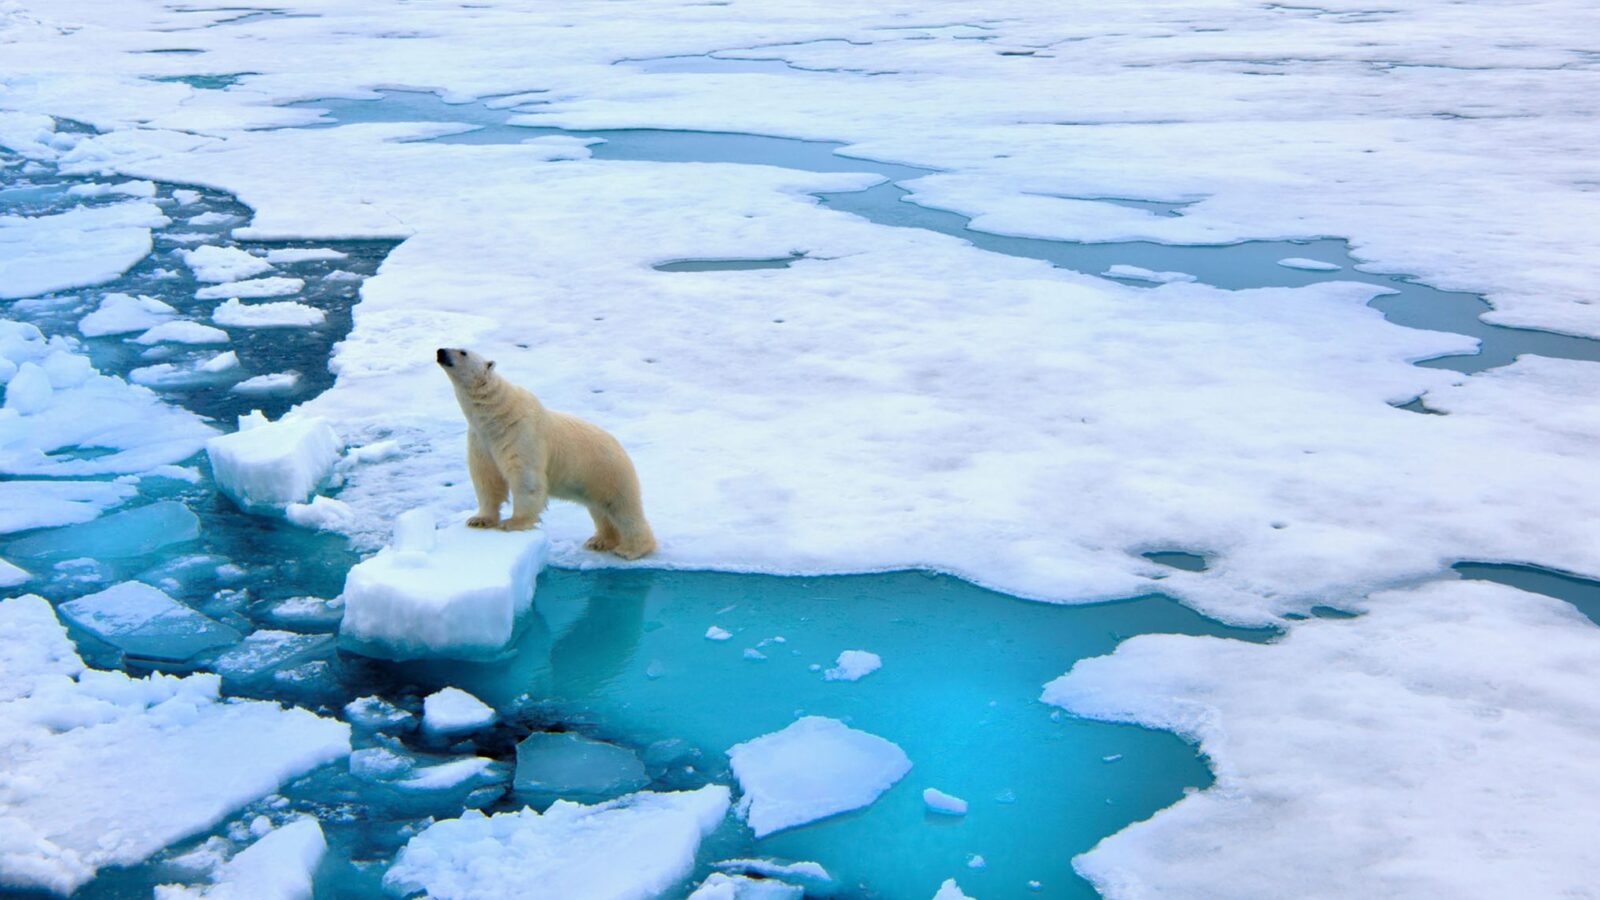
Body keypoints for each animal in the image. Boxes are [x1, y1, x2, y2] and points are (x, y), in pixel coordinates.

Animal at [436, 347, 656, 559]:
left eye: (463, 352)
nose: (440, 351)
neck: (496, 415)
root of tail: (621, 448)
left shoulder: (521, 433)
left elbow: (526, 479)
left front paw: (513, 522)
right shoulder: (481, 440)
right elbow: (487, 478)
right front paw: (479, 520)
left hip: (608, 472)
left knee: (622, 509)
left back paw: (631, 549)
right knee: (600, 510)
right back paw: (599, 541)